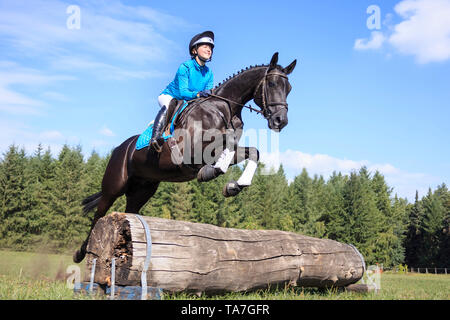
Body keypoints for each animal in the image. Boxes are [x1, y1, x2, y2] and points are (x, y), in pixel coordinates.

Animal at [74, 52, 296, 262]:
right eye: (273, 83)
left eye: (289, 88)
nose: (281, 121)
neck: (223, 108)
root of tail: (120, 148)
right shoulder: (192, 151)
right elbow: (228, 142)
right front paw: (212, 173)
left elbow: (252, 152)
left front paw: (234, 186)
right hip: (114, 186)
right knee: (98, 215)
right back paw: (81, 252)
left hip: (142, 190)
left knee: (129, 211)